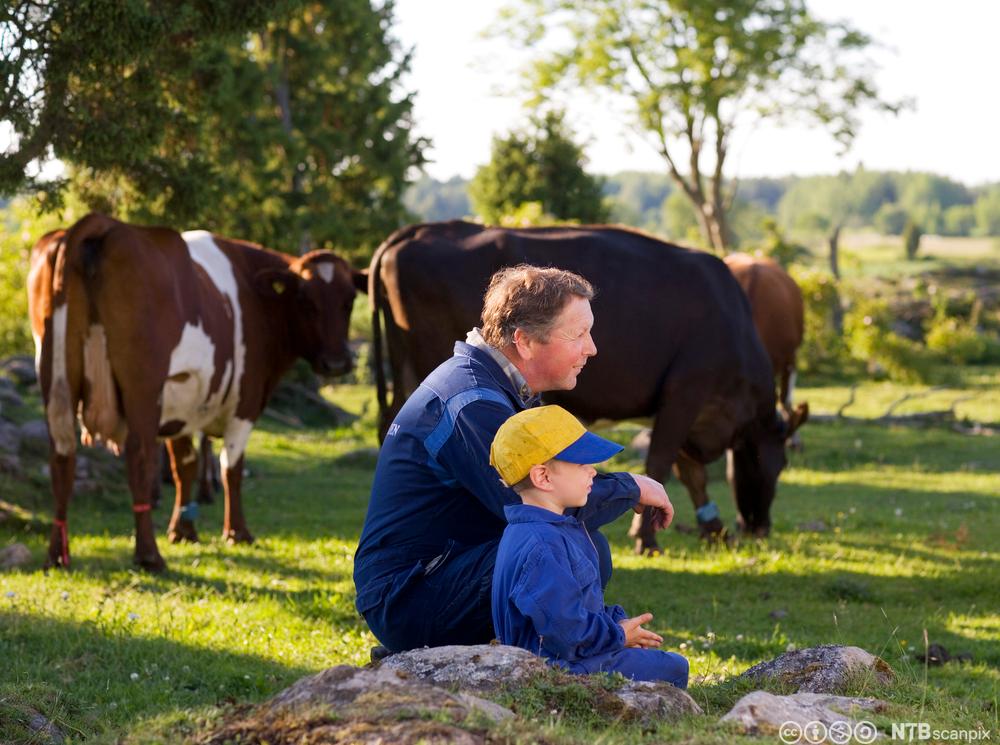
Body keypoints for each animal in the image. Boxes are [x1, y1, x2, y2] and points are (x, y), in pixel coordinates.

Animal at [28, 212, 368, 572]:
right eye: (306, 301)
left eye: (349, 301)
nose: (336, 363)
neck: (252, 290)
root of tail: (102, 223)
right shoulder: (244, 402)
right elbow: (231, 467)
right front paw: (237, 532)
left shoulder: (180, 404)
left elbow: (185, 465)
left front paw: (183, 531)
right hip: (142, 386)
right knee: (139, 456)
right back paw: (148, 554)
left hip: (57, 378)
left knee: (62, 458)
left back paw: (56, 554)